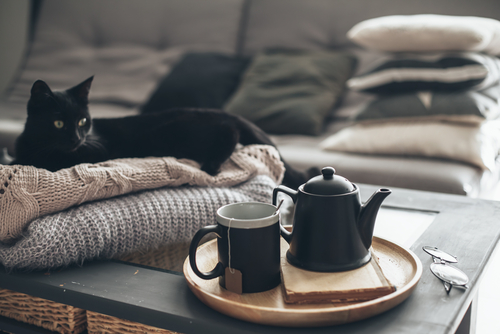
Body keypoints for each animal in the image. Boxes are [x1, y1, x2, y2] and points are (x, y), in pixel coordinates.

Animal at [11, 76, 314, 189]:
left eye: (83, 121)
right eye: (59, 124)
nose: (77, 138)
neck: (34, 144)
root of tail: (222, 111)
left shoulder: (92, 152)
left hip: (181, 131)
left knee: (229, 132)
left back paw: (212, 164)